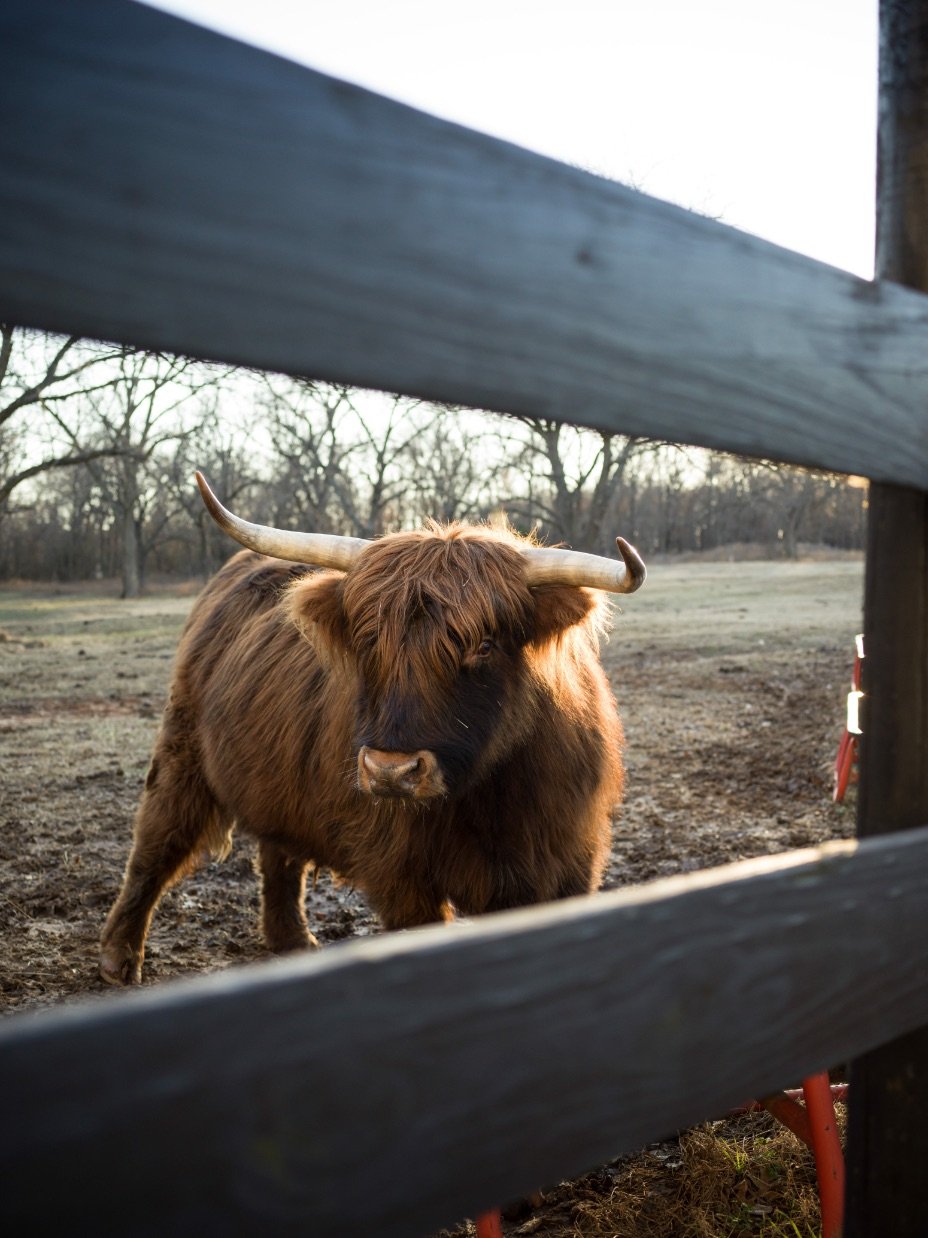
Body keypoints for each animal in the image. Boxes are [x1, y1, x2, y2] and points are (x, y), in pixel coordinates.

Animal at [96, 472, 648, 985]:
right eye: (367, 642)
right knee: (156, 843)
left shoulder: (568, 862)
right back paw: (119, 959)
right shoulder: (401, 876)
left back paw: (291, 940)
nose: (391, 771)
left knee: (278, 851)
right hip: (181, 751)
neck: (492, 796)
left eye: (484, 645)